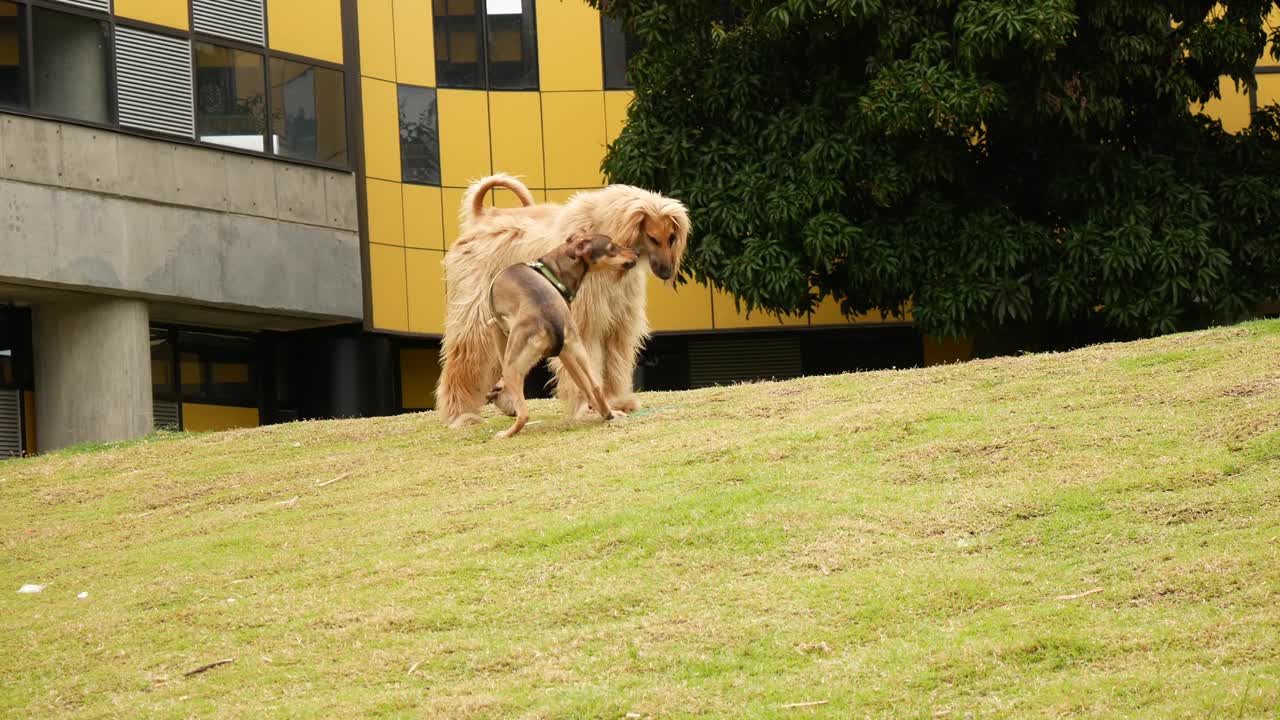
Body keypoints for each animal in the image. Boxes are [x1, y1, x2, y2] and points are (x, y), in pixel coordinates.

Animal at [481, 234, 637, 438]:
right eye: (612, 247)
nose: (636, 253)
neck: (553, 271)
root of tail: (549, 319)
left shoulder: (495, 326)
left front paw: (500, 392)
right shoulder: (566, 354)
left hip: (513, 365)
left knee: (524, 415)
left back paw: (506, 433)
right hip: (576, 351)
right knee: (594, 387)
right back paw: (609, 414)